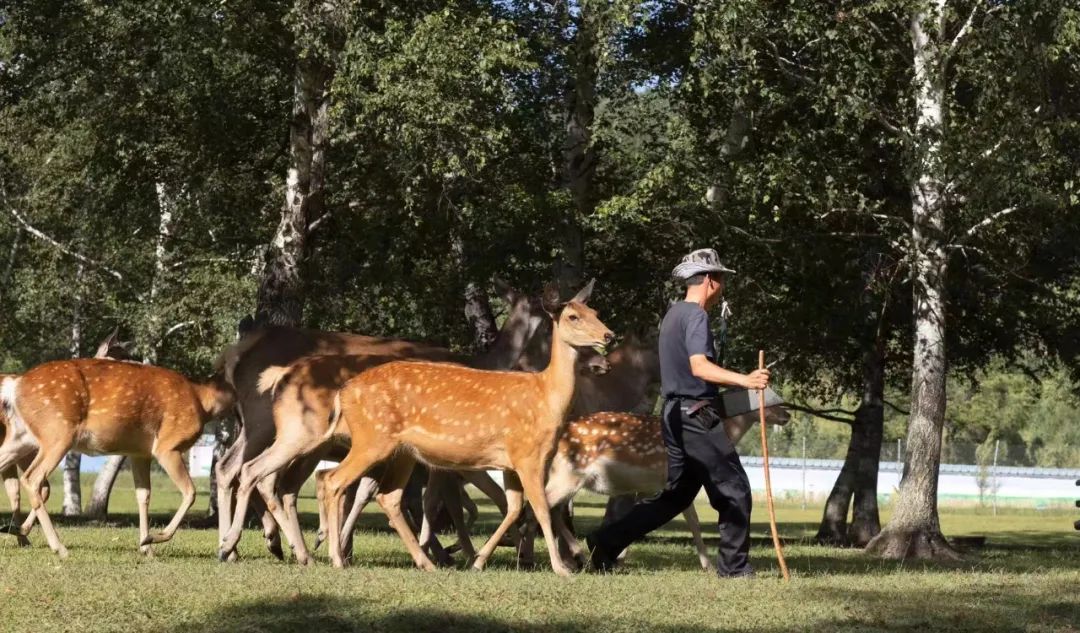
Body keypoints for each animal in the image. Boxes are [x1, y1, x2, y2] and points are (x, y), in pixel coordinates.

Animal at [0, 354, 235, 557]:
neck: (205, 401)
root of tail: (15, 385)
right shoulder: (168, 445)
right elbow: (189, 492)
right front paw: (156, 537)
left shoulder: (139, 453)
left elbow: (143, 495)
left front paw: (146, 546)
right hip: (57, 432)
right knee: (32, 479)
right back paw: (59, 547)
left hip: (23, 438)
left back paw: (19, 532)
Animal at [212, 278, 548, 557]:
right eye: (548, 320)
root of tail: (232, 355)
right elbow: (438, 500)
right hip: (270, 424)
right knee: (252, 472)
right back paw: (253, 544)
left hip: (261, 428)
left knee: (237, 468)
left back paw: (254, 545)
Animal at [315, 278, 613, 574]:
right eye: (573, 316)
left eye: (595, 312)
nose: (609, 336)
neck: (546, 398)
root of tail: (343, 392)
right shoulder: (528, 455)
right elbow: (541, 508)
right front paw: (560, 567)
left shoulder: (511, 463)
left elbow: (514, 507)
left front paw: (481, 560)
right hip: (372, 439)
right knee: (334, 480)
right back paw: (337, 557)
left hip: (402, 452)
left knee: (387, 497)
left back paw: (426, 563)